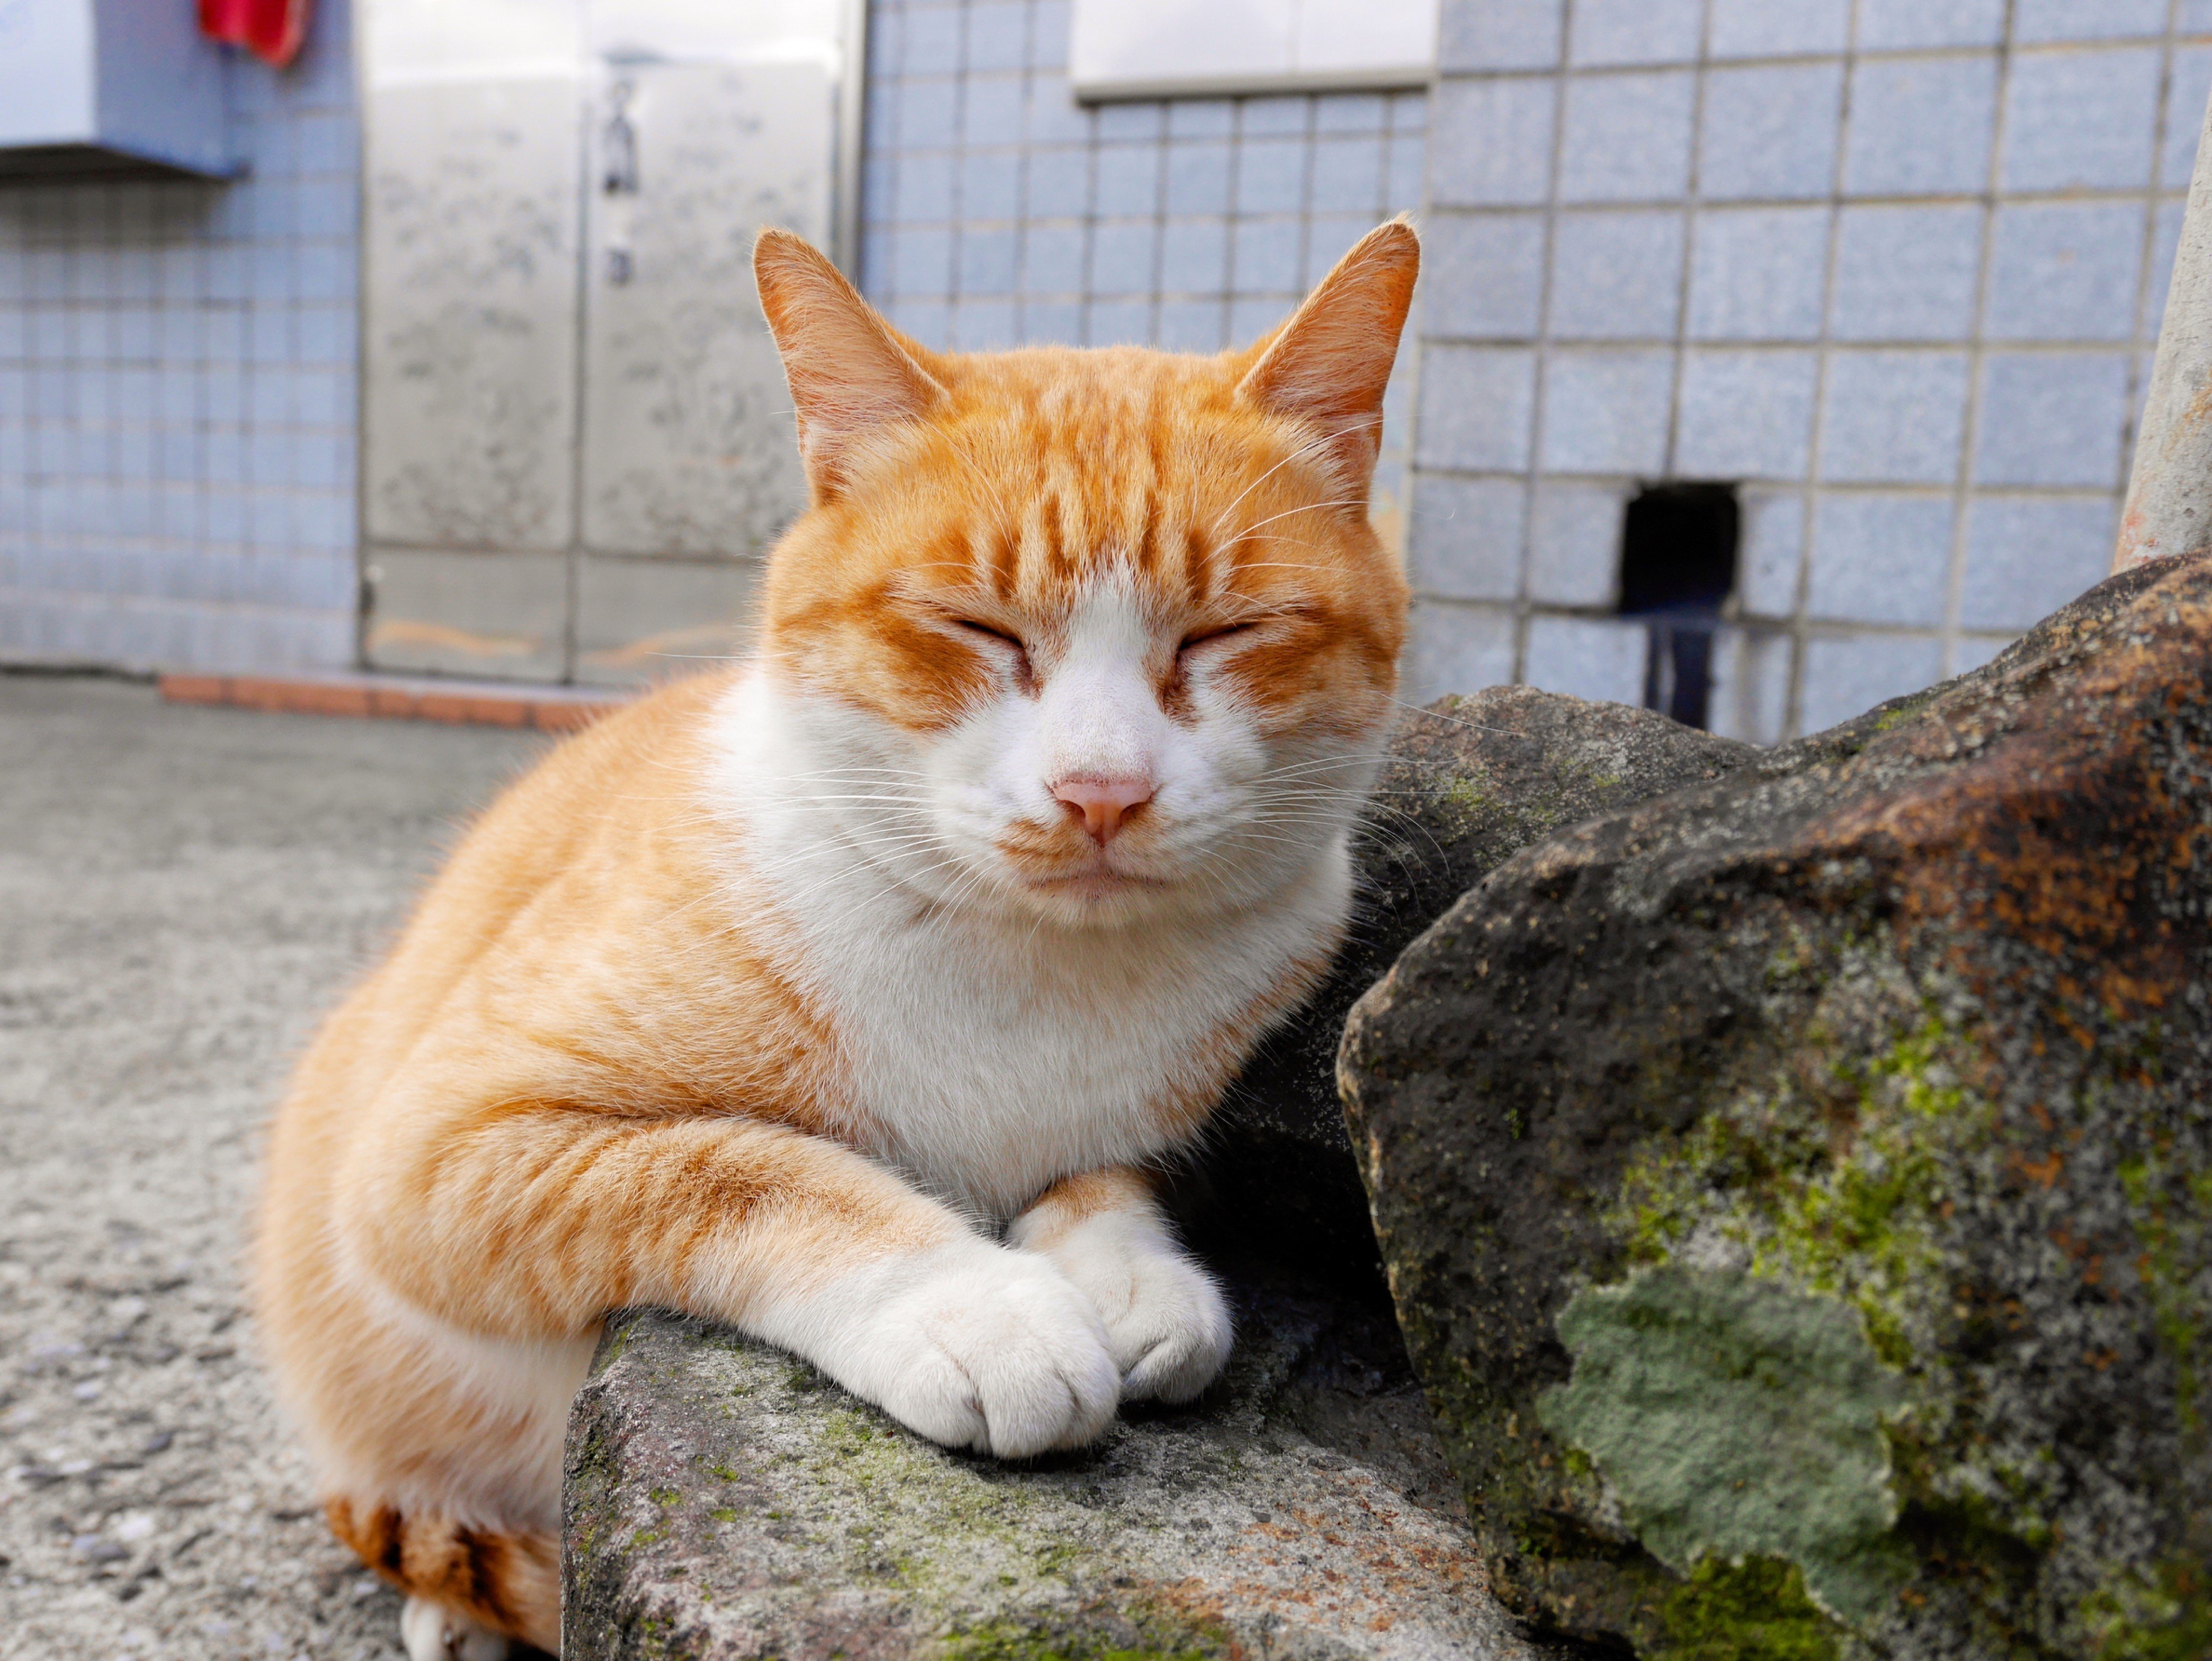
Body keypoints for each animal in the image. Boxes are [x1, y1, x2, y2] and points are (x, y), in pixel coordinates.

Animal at [246, 221, 1415, 1661]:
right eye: (977, 627)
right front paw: (974, 1302)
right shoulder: (443, 1146)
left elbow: (1105, 1168)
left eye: (1226, 633)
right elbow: (752, 1168)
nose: (1100, 792)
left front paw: (1130, 1272)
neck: (1033, 971)